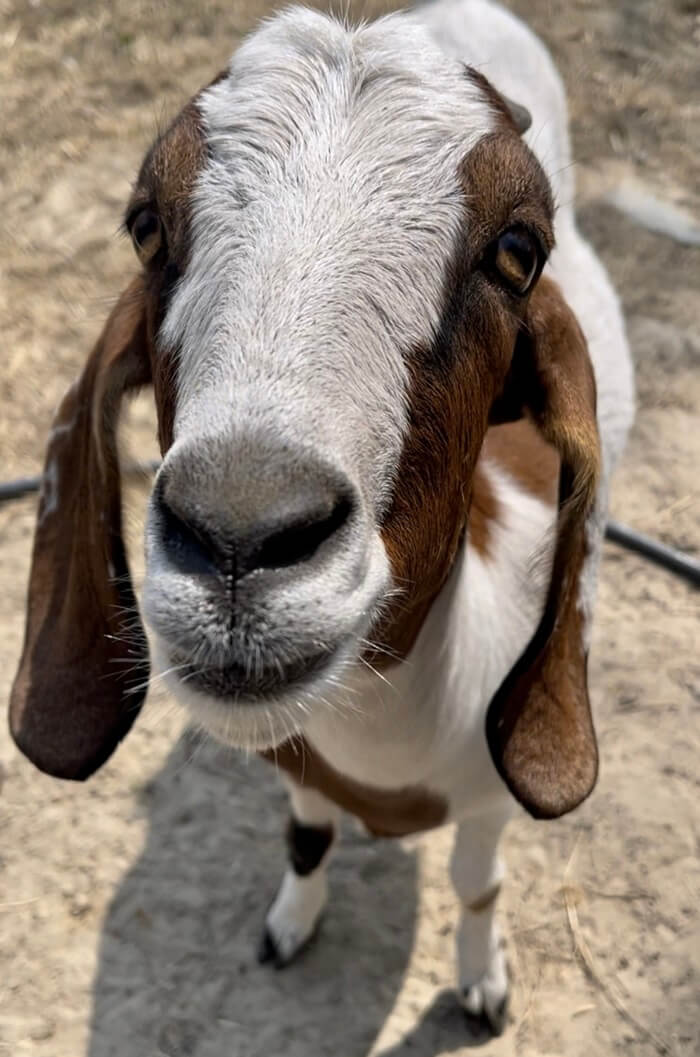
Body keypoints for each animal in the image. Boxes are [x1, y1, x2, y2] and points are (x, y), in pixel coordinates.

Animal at [9, 0, 634, 1035]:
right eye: (146, 227)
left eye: (518, 250)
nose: (238, 536)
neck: (384, 741)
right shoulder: (297, 768)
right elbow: (306, 842)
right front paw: (288, 928)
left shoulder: (492, 796)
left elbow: (476, 884)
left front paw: (482, 982)